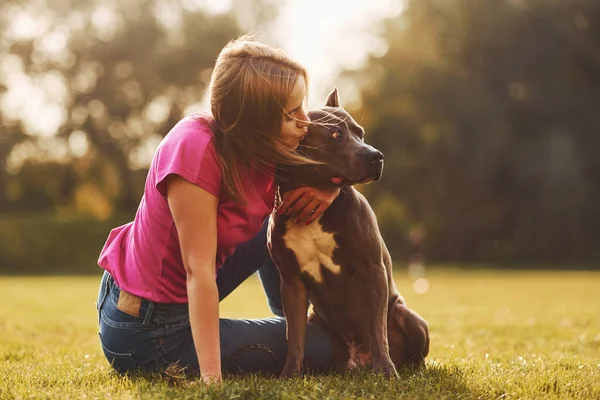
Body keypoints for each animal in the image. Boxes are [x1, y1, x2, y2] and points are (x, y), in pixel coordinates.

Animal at [266, 88, 426, 378]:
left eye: (360, 133)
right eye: (336, 135)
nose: (376, 156)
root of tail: (357, 361)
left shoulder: (373, 269)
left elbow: (378, 330)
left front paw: (387, 371)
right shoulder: (292, 284)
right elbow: (294, 336)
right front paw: (290, 374)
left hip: (408, 317)